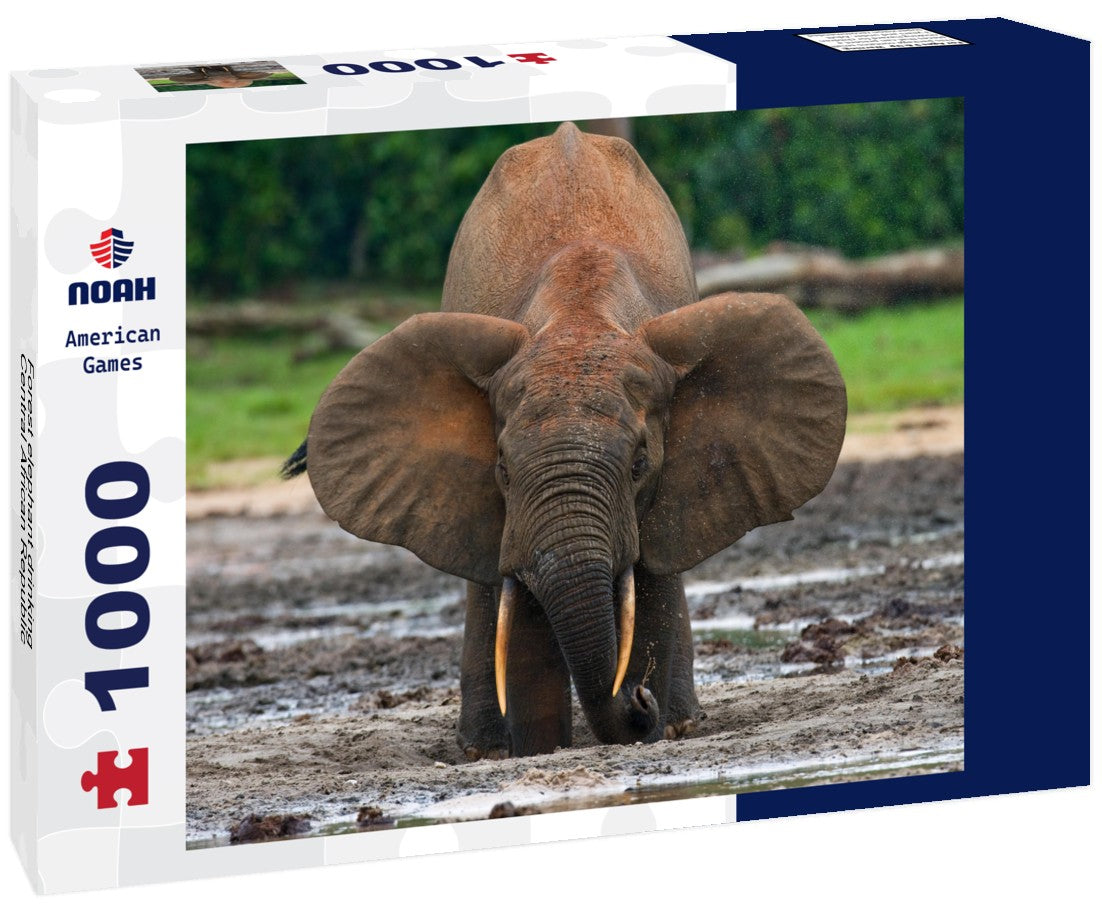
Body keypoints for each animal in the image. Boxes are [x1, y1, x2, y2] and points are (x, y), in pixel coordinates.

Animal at [283, 122, 847, 759]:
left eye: (640, 464)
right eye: (502, 469)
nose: (639, 699)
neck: (581, 317)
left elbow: (646, 583)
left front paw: (649, 718)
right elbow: (521, 613)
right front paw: (537, 750)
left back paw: (681, 722)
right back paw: (484, 749)